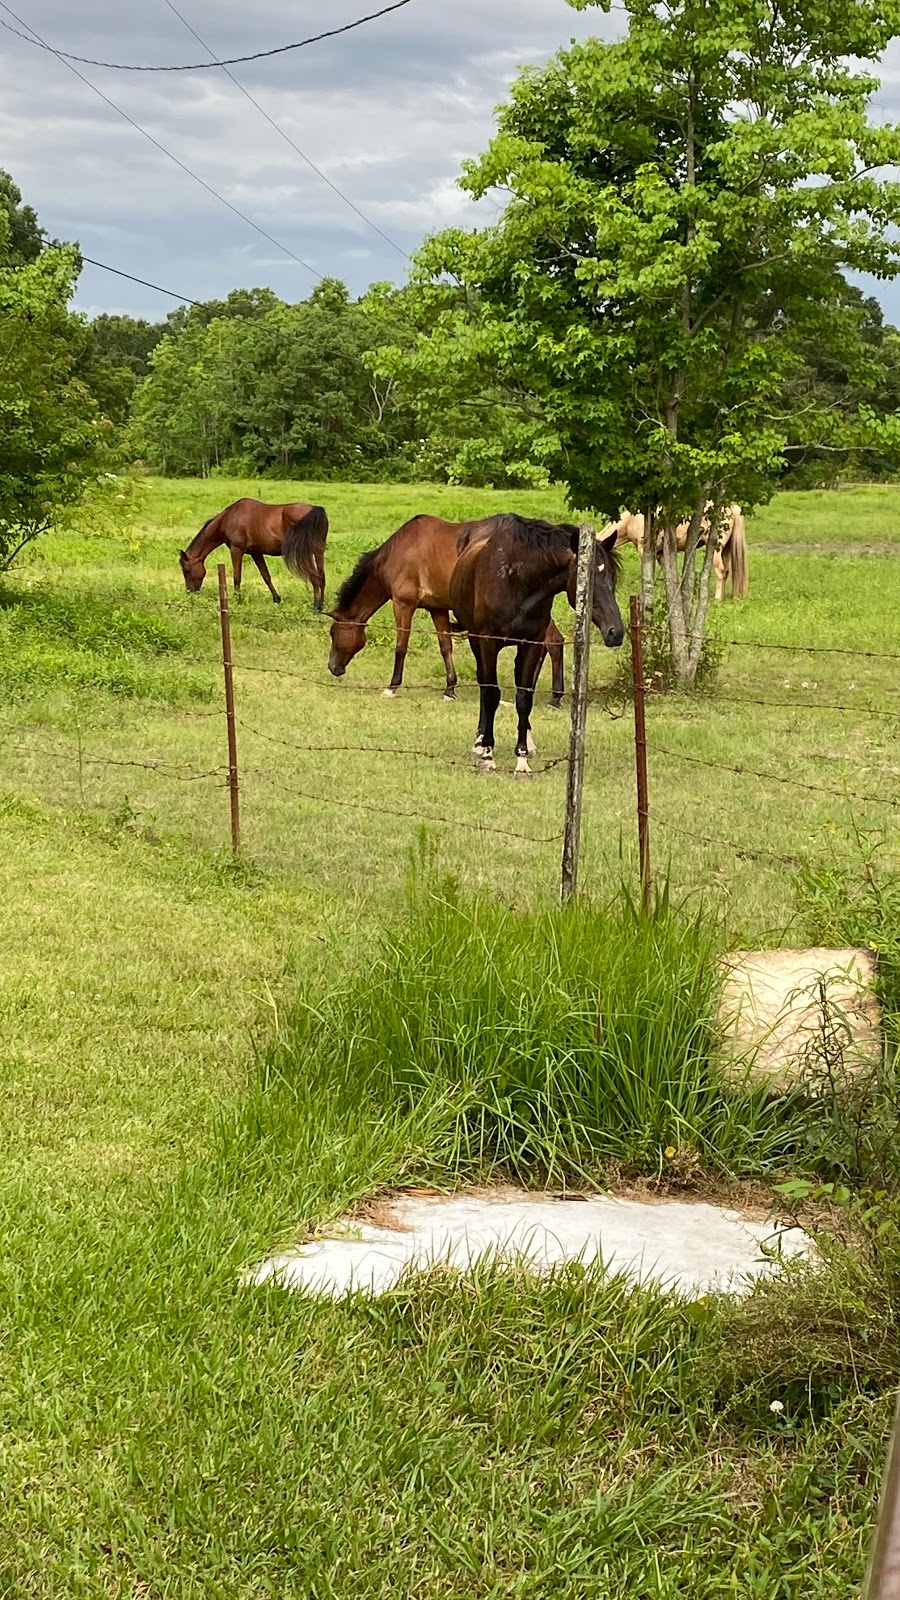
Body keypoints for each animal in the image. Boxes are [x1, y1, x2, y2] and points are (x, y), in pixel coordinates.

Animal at [176, 496, 328, 608]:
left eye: (187, 570)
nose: (190, 592)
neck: (228, 518)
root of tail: (316, 510)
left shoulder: (237, 550)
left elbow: (237, 577)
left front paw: (238, 600)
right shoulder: (256, 553)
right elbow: (266, 576)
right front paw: (277, 599)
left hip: (307, 554)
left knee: (315, 577)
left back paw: (316, 606)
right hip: (318, 551)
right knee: (322, 577)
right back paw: (322, 606)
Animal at [321, 515, 560, 704]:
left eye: (333, 633)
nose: (333, 667)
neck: (398, 551)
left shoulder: (403, 604)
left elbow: (401, 646)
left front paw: (392, 687)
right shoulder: (437, 610)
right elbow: (446, 648)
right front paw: (450, 689)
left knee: (552, 642)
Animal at [448, 518, 624, 774]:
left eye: (612, 577)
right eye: (588, 580)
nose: (616, 632)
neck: (517, 578)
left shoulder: (531, 644)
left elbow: (524, 697)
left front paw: (522, 759)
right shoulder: (488, 643)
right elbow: (490, 694)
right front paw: (488, 754)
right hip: (475, 640)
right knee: (483, 685)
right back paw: (480, 742)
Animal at [605, 505, 746, 601]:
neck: (632, 520)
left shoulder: (643, 549)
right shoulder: (660, 553)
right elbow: (667, 573)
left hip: (716, 551)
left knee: (721, 571)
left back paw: (717, 599)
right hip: (725, 551)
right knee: (726, 572)